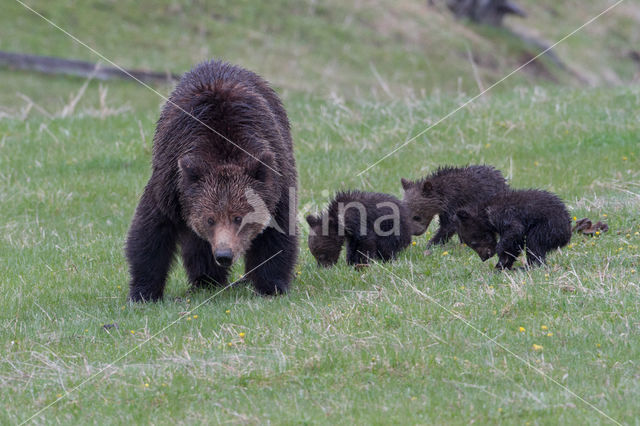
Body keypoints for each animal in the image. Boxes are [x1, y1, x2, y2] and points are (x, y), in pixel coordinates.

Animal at [126, 61, 298, 304]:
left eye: (239, 217)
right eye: (210, 219)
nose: (224, 255)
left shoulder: (276, 181)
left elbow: (277, 233)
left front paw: (272, 285)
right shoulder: (171, 183)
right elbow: (151, 231)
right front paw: (143, 292)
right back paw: (206, 280)